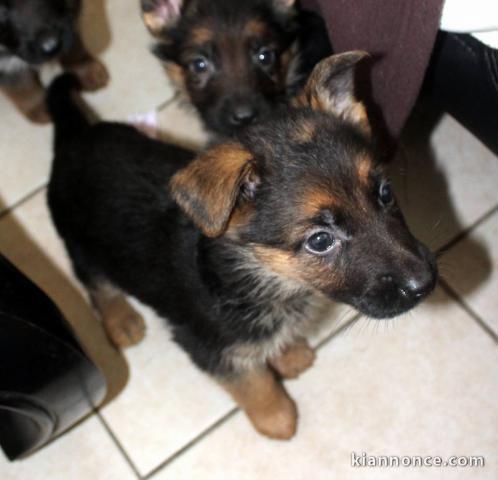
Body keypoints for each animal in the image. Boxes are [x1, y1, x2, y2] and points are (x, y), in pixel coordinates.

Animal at [46, 51, 436, 438]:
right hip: (80, 244)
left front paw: (288, 355)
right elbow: (253, 384)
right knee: (97, 285)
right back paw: (121, 321)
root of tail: (75, 138)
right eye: (321, 240)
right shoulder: (209, 347)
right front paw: (277, 418)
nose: (425, 283)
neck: (255, 272)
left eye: (385, 193)